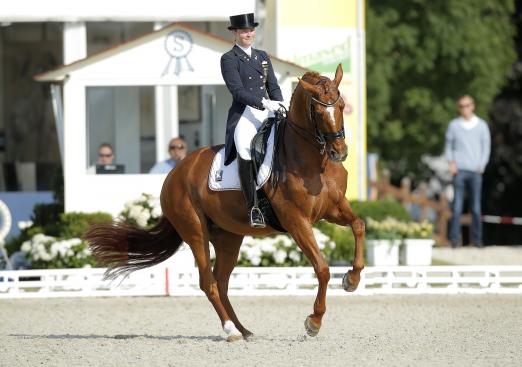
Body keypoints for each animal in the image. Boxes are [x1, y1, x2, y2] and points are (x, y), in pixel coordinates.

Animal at [84, 63, 362, 342]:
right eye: (318, 112)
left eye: (341, 105)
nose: (339, 152)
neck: (313, 162)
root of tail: (175, 173)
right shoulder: (296, 220)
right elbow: (322, 268)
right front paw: (313, 322)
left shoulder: (334, 209)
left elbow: (358, 226)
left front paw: (352, 280)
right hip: (195, 232)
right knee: (208, 282)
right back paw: (230, 330)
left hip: (228, 237)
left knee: (222, 282)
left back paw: (243, 330)